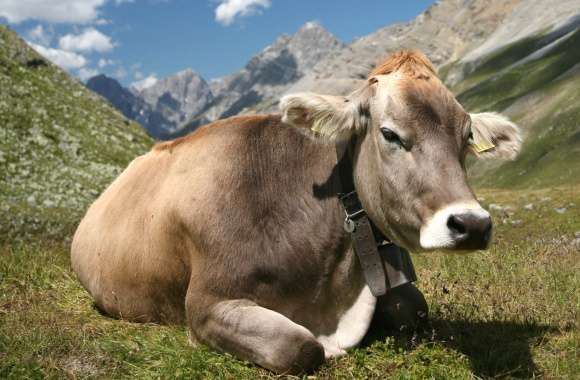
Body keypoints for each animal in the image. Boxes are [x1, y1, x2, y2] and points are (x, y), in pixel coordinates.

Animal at [71, 50, 520, 374]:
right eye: (390, 134)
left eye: (466, 137)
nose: (471, 224)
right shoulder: (207, 304)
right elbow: (300, 348)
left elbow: (414, 308)